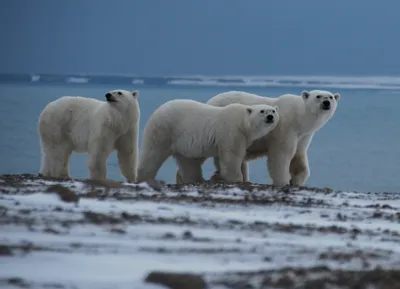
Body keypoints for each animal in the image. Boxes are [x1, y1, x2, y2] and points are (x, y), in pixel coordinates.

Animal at [137, 99, 278, 182]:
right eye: (262, 111)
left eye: (273, 110)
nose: (270, 117)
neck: (242, 122)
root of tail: (156, 111)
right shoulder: (232, 131)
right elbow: (232, 156)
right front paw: (236, 178)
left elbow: (221, 158)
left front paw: (219, 175)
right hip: (164, 130)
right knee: (153, 154)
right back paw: (144, 177)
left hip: (181, 142)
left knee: (188, 163)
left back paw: (197, 179)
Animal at [195, 89, 340, 186]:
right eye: (318, 96)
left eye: (331, 97)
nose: (326, 103)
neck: (299, 117)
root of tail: (210, 100)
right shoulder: (285, 127)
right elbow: (282, 154)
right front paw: (284, 181)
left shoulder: (304, 135)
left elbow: (299, 155)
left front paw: (296, 180)